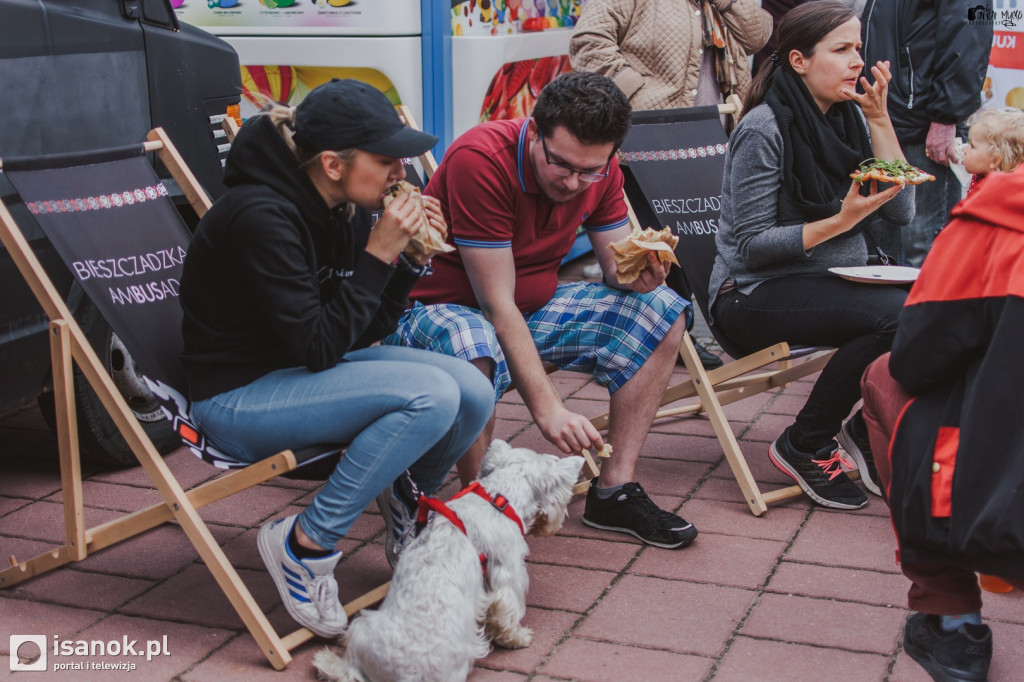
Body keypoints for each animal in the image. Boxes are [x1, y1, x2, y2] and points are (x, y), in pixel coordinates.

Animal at [311, 440, 585, 679]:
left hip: (361, 626)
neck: (497, 499)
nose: (554, 526)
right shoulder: (508, 571)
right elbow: (507, 610)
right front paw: (517, 638)